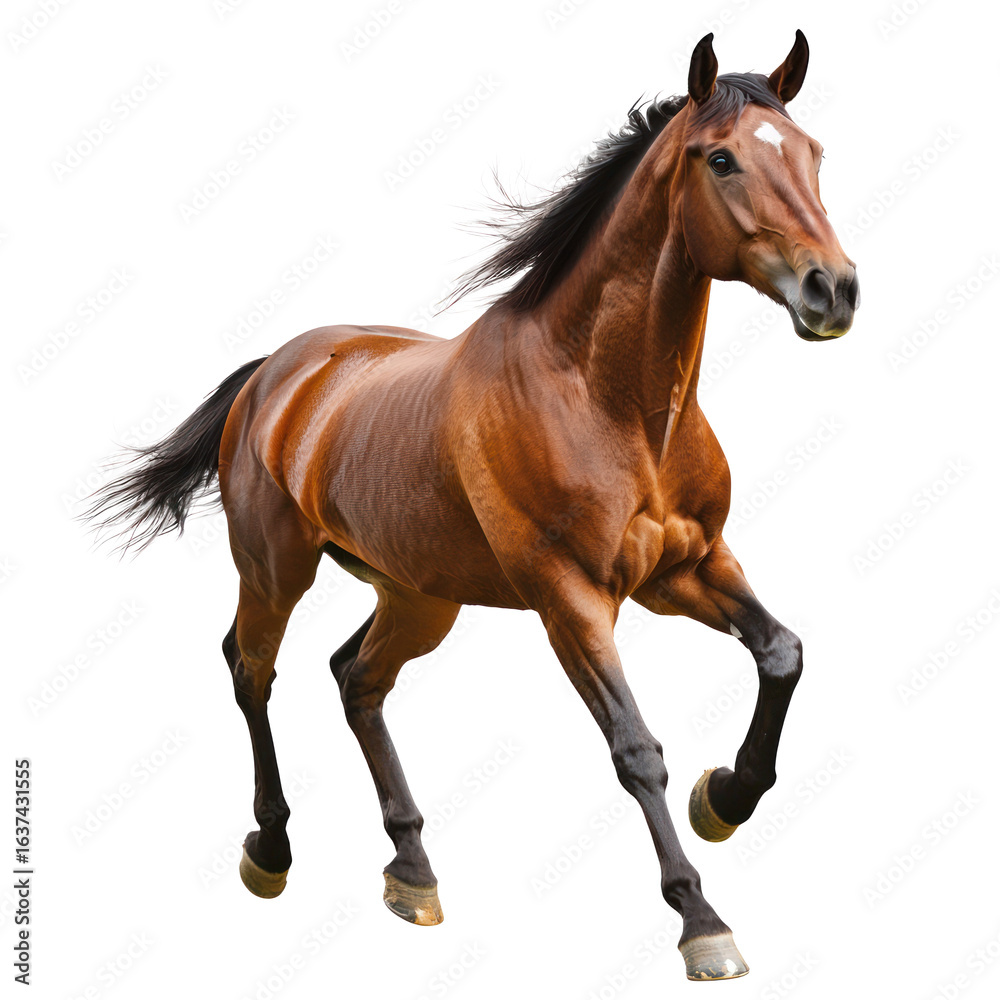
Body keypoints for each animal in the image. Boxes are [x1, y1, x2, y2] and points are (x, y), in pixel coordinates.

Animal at [88, 30, 859, 982]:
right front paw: (702, 923)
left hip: (422, 595)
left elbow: (782, 653)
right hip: (275, 570)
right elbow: (637, 749)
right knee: (251, 669)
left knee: (355, 678)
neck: (604, 400)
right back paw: (271, 852)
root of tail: (277, 371)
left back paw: (412, 872)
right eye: (721, 158)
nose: (834, 290)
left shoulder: (688, 568)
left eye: (813, 154)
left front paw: (727, 798)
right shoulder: (570, 599)